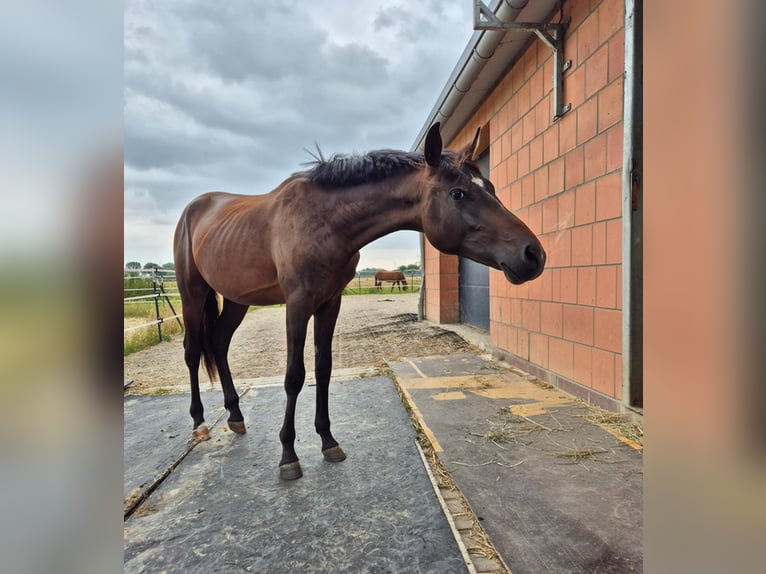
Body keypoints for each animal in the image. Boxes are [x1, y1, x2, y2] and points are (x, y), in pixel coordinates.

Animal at [173, 122, 546, 481]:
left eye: (491, 187)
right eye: (458, 193)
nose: (533, 255)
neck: (322, 221)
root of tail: (193, 209)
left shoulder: (330, 302)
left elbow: (324, 369)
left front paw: (328, 440)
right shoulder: (297, 304)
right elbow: (294, 376)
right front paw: (288, 455)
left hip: (237, 299)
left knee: (219, 343)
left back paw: (235, 415)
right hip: (191, 293)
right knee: (192, 352)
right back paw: (199, 423)